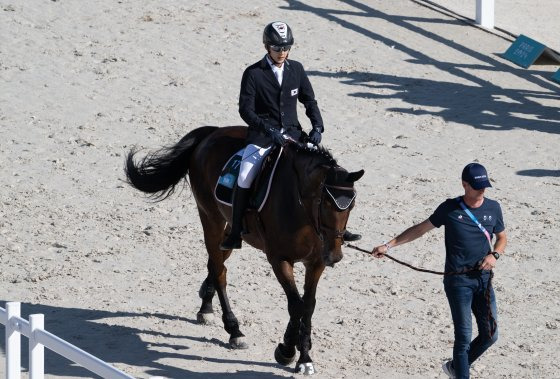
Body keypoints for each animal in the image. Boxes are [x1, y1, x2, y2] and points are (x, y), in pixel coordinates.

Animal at [125, 126, 366, 376]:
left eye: (352, 205)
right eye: (325, 203)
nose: (335, 256)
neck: (302, 210)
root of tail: (213, 133)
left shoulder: (316, 263)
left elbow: (307, 306)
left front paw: (305, 358)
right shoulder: (279, 260)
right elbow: (295, 305)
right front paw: (286, 351)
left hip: (232, 230)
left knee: (217, 262)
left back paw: (206, 306)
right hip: (210, 217)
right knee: (219, 271)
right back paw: (234, 330)